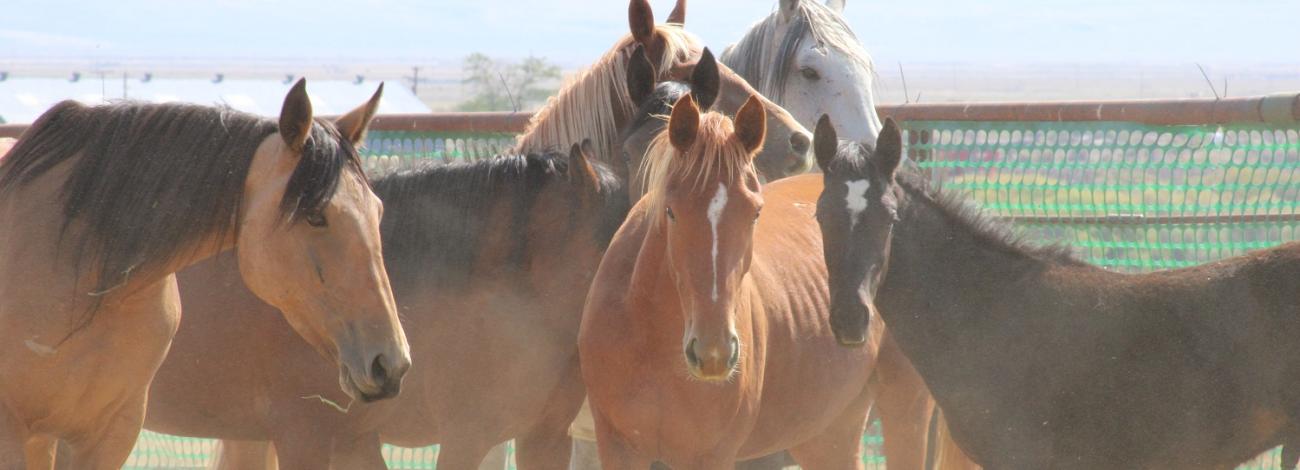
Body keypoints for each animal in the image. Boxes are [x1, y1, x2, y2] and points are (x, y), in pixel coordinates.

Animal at [582, 90, 894, 467]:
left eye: (755, 212)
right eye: (671, 211)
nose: (714, 352)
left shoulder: (710, 456)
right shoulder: (618, 446)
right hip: (826, 435)